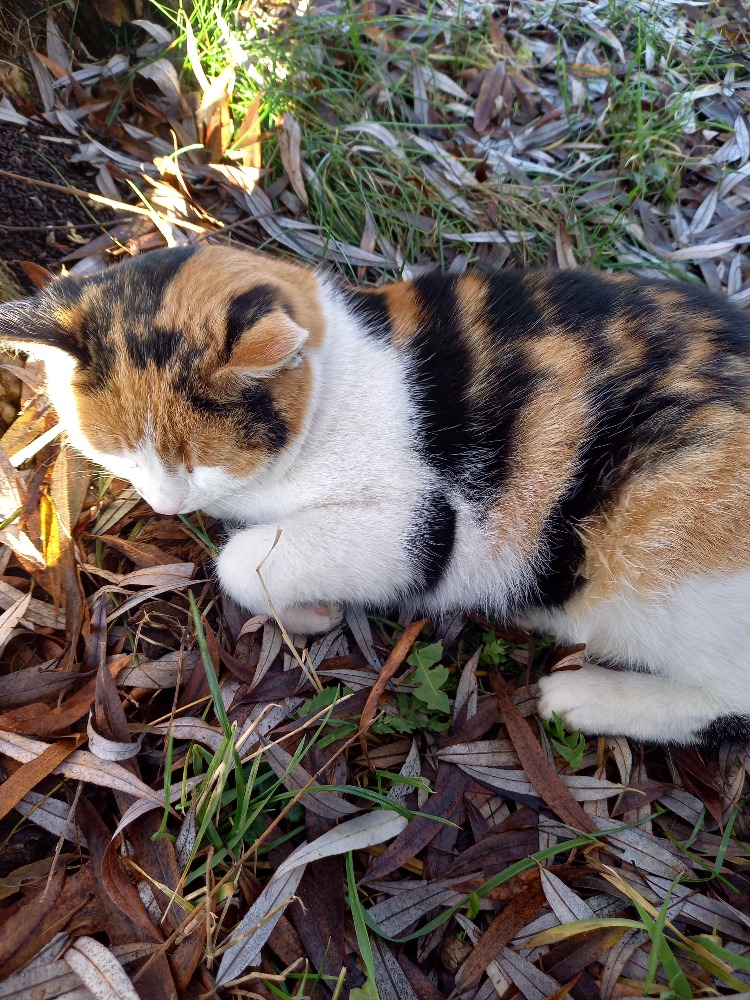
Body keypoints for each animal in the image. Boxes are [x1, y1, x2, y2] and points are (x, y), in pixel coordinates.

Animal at [1, 244, 749, 745]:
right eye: (119, 454)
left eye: (200, 462)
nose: (164, 505)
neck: (340, 377)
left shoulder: (417, 523)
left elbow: (241, 560)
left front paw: (309, 613)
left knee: (730, 700)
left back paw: (583, 696)